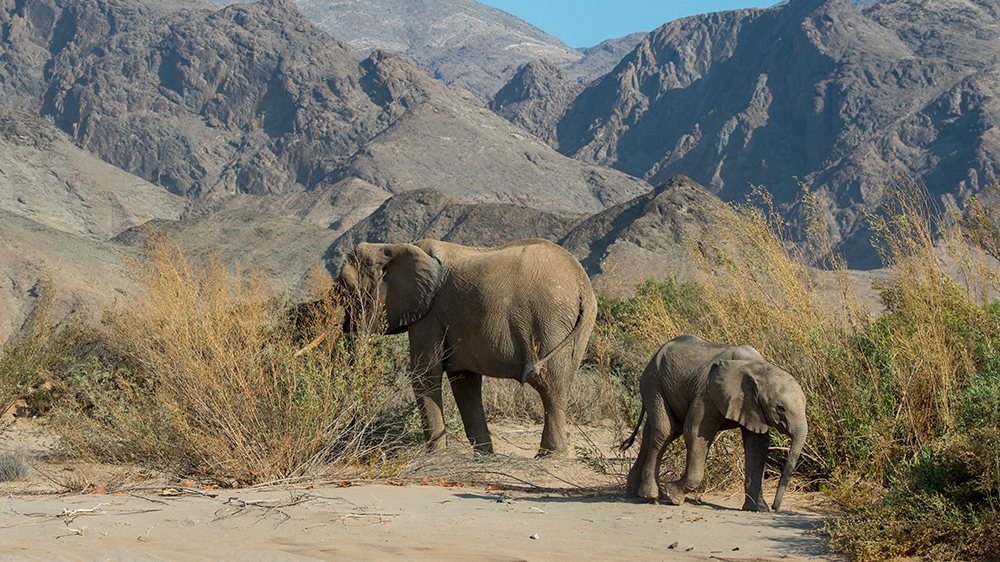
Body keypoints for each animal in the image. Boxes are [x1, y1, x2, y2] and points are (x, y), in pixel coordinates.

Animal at [336, 238, 597, 456]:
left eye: (346, 285)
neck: (394, 246)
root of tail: (582, 284)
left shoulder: (430, 315)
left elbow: (425, 375)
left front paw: (436, 459)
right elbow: (465, 383)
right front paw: (484, 459)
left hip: (548, 319)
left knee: (549, 383)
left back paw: (549, 456)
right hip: (576, 327)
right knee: (561, 382)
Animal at [621, 334, 807, 512]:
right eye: (781, 408)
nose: (776, 507)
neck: (757, 367)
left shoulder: (752, 405)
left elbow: (758, 444)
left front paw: (759, 509)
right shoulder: (706, 394)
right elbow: (695, 433)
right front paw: (674, 496)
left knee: (656, 432)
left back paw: (633, 493)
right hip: (653, 383)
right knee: (666, 430)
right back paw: (651, 496)